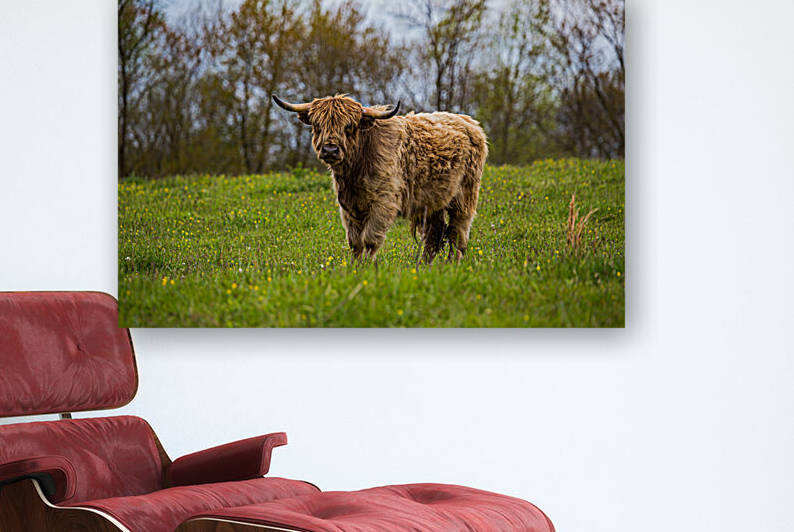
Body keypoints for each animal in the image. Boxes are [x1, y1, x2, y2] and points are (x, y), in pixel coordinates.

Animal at [272, 94, 488, 264]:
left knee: (457, 233)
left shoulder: (384, 202)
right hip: (434, 201)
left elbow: (369, 239)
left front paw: (369, 266)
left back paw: (452, 264)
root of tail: (470, 123)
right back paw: (424, 266)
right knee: (434, 235)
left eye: (349, 126)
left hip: (465, 196)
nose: (330, 150)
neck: (354, 172)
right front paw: (356, 267)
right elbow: (355, 242)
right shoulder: (349, 206)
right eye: (317, 125)